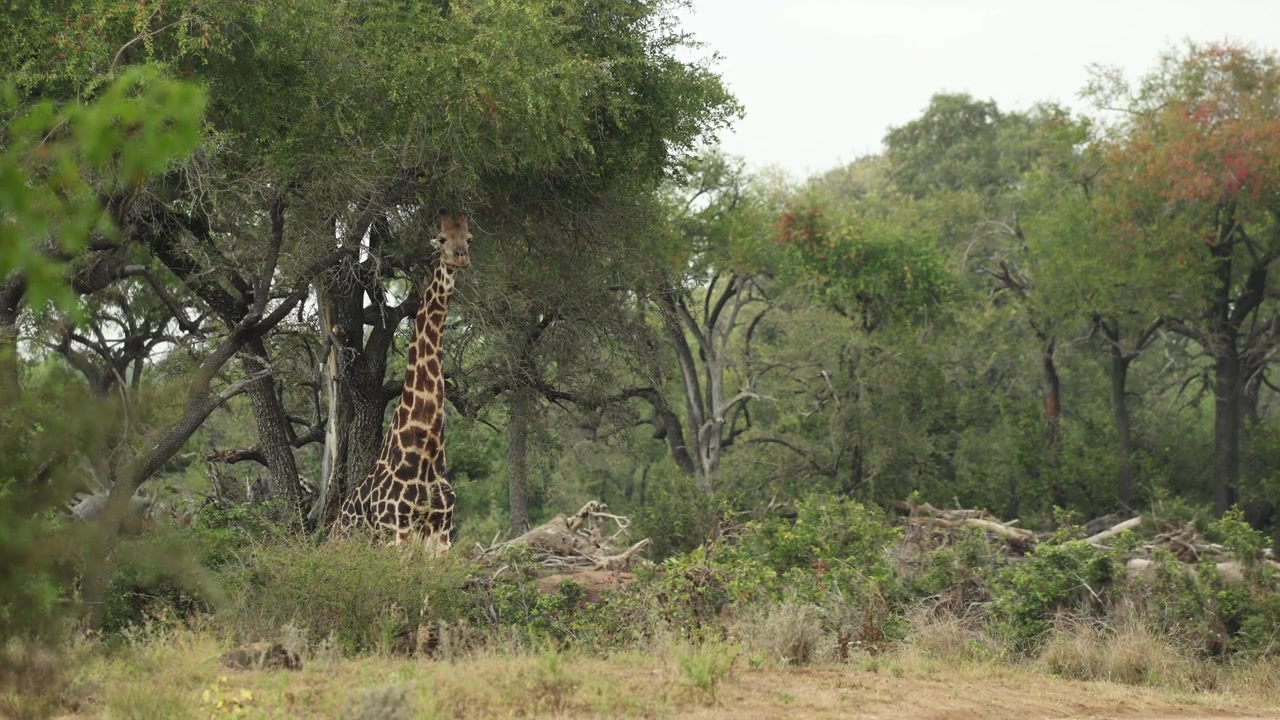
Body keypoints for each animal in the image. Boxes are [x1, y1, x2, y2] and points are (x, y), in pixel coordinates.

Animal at [334, 208, 471, 553]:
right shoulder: (396, 529)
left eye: (469, 237)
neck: (425, 450)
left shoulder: (441, 532)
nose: (460, 256)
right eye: (441, 238)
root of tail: (334, 527)